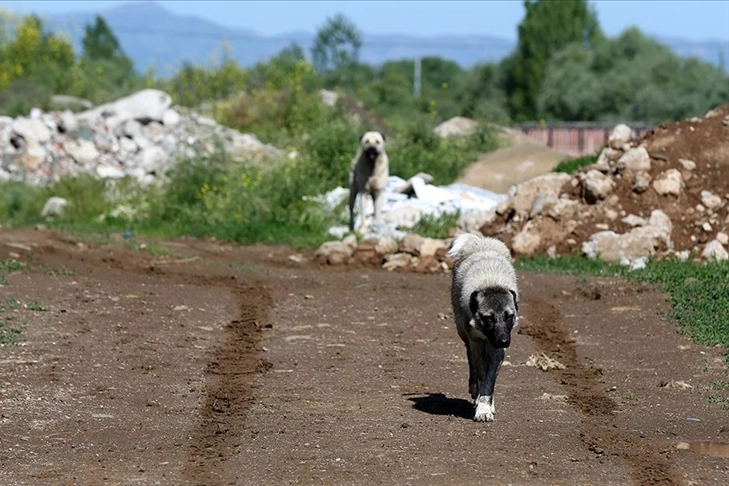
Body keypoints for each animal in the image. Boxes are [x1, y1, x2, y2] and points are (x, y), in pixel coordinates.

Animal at [444, 233, 516, 422]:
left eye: (509, 316)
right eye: (488, 318)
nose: (504, 341)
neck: (491, 282)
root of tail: (479, 240)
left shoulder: (498, 349)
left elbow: (490, 379)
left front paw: (486, 406)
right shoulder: (475, 340)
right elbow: (482, 373)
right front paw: (481, 405)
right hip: (463, 333)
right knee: (472, 361)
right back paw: (474, 389)